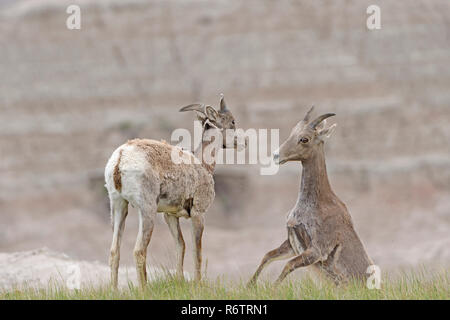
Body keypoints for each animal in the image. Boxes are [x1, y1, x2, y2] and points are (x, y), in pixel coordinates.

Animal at [250, 107, 372, 284]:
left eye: (304, 139)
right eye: (292, 133)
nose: (276, 155)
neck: (313, 204)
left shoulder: (316, 251)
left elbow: (288, 265)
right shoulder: (292, 245)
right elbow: (268, 256)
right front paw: (249, 286)